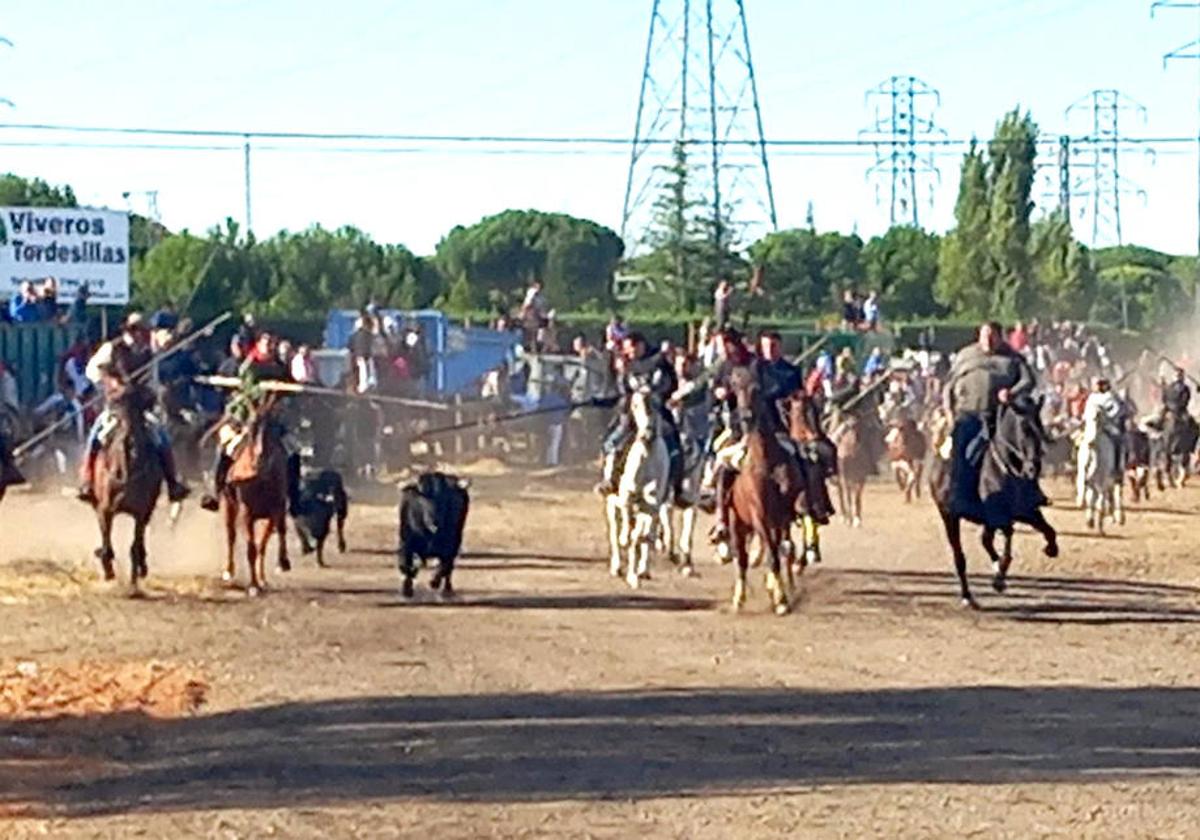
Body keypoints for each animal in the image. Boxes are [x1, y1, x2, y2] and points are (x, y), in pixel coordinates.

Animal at [219, 400, 289, 592]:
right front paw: (253, 585)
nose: (261, 457)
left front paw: (261, 580)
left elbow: (261, 546)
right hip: (229, 505)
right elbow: (251, 548)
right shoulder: (246, 513)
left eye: (274, 427)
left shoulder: (274, 512)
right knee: (230, 536)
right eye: (251, 427)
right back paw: (228, 571)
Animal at [600, 391, 676, 588]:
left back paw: (643, 569)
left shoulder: (651, 507)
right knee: (615, 531)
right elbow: (627, 536)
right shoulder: (627, 500)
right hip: (611, 505)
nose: (647, 434)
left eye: (657, 404)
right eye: (634, 405)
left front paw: (636, 576)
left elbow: (642, 536)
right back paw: (616, 566)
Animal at [724, 369, 801, 619]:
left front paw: (780, 595)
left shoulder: (782, 516)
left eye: (757, 388)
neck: (765, 462)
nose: (746, 417)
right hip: (736, 522)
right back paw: (738, 599)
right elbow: (771, 555)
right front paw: (781, 600)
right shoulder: (760, 516)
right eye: (735, 388)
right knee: (741, 559)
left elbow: (779, 550)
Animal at [931, 403, 1056, 607]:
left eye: (1040, 427)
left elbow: (1049, 531)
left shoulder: (1026, 511)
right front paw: (999, 578)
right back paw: (967, 595)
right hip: (949, 516)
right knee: (960, 556)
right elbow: (1008, 540)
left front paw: (1051, 549)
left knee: (985, 540)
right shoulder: (1000, 516)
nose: (1033, 468)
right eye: (1023, 429)